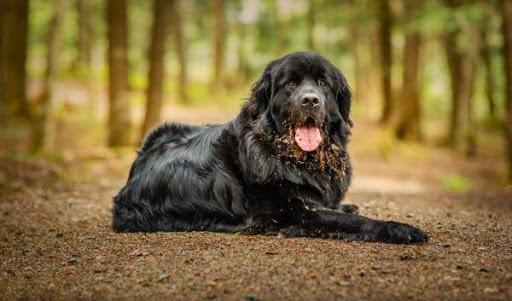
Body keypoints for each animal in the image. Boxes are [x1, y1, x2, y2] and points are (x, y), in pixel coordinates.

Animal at [113, 52, 428, 244]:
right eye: (291, 83)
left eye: (323, 83)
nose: (310, 100)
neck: (295, 159)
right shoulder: (297, 213)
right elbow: (353, 221)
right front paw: (398, 228)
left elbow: (341, 209)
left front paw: (347, 204)